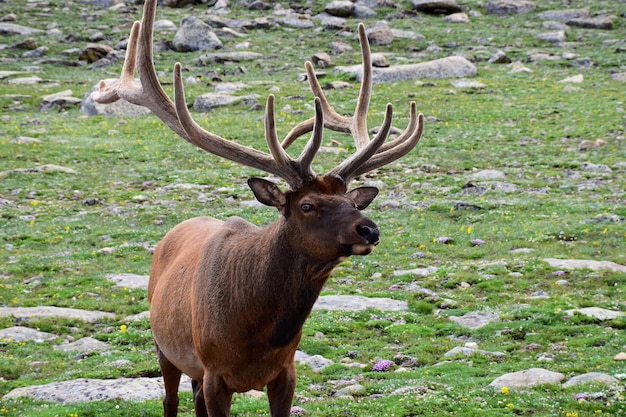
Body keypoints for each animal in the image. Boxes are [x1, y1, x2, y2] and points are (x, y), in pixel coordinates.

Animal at [91, 1, 424, 414]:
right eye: (308, 205)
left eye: (350, 200)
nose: (369, 229)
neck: (259, 334)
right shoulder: (215, 372)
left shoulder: (286, 371)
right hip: (165, 347)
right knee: (170, 400)